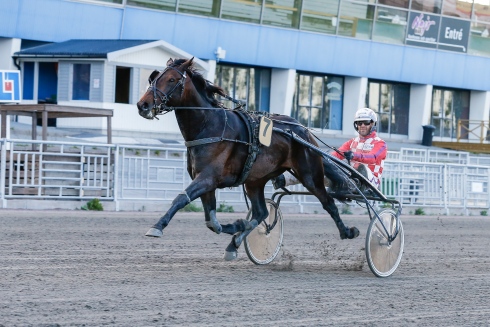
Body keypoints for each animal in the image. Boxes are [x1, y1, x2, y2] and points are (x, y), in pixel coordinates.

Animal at [136, 57, 358, 262]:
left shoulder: (208, 178)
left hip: (309, 174)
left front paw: (157, 226)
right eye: (154, 78)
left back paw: (347, 231)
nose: (142, 104)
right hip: (255, 180)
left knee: (328, 202)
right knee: (261, 212)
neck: (210, 126)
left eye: (172, 79)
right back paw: (234, 243)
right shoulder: (206, 181)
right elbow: (211, 221)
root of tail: (304, 131)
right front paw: (237, 226)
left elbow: (181, 198)